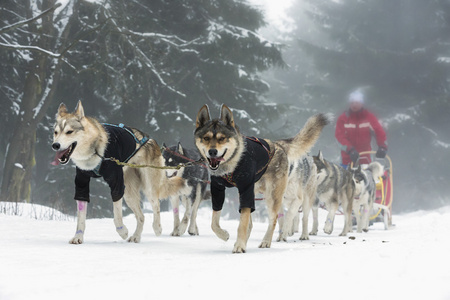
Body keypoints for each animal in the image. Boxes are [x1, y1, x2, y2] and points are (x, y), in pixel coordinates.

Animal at [51, 101, 185, 244]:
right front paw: (78, 237)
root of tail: (149, 139)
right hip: (129, 194)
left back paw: (157, 228)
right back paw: (136, 236)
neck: (94, 151)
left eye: (69, 132)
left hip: (148, 187)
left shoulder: (116, 183)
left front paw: (122, 231)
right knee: (141, 216)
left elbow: (117, 214)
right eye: (56, 132)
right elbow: (81, 217)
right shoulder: (82, 183)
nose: (55, 145)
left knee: (156, 205)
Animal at [194, 104, 330, 252]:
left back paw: (266, 241)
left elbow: (243, 224)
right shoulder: (218, 189)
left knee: (276, 219)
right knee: (251, 221)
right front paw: (224, 235)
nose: (212, 152)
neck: (232, 164)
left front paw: (239, 246)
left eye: (221, 138)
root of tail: (278, 145)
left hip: (274, 197)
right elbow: (214, 222)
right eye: (206, 138)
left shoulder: (246, 189)